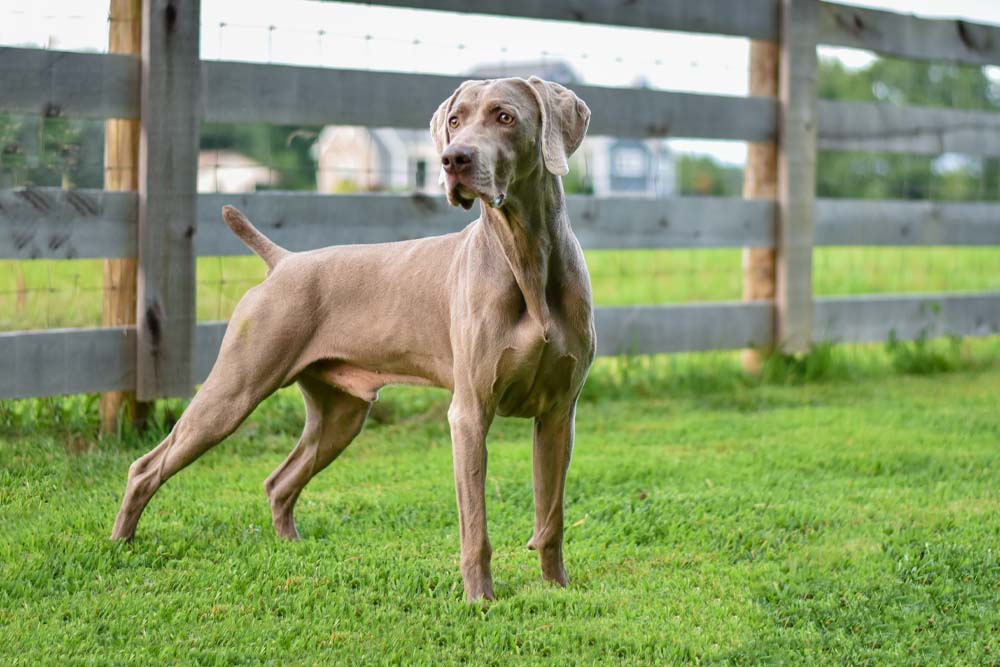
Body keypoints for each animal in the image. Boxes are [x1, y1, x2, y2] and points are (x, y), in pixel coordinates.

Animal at [111, 76, 595, 601]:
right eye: (454, 120)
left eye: (504, 116)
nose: (454, 159)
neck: (525, 256)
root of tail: (283, 260)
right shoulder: (469, 413)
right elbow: (475, 527)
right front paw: (480, 599)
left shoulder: (559, 414)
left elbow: (551, 517)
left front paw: (558, 588)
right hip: (233, 390)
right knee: (146, 467)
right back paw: (120, 543)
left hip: (340, 413)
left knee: (279, 481)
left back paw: (291, 547)